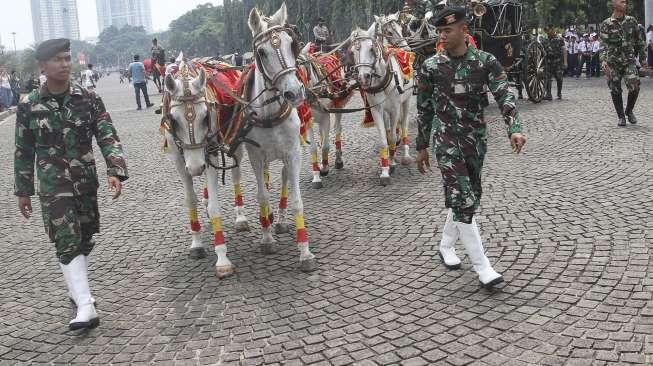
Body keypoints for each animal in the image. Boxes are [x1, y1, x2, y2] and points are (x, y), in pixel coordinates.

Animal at [160, 59, 247, 278]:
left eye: (205, 117)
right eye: (174, 120)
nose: (196, 167)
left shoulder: (211, 152)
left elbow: (216, 205)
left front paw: (222, 258)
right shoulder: (178, 159)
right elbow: (190, 200)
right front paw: (196, 243)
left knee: (235, 175)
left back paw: (240, 216)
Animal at [243, 2, 318, 272]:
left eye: (290, 43)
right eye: (262, 52)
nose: (294, 92)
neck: (270, 112)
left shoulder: (293, 151)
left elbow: (296, 199)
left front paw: (304, 252)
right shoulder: (255, 155)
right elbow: (262, 195)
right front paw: (266, 238)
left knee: (285, 176)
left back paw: (282, 218)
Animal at [348, 18, 416, 184]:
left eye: (372, 49)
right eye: (353, 52)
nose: (364, 77)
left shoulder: (395, 108)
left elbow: (392, 136)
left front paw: (392, 161)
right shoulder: (377, 109)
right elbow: (384, 138)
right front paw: (385, 170)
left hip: (406, 100)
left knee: (404, 124)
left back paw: (405, 154)